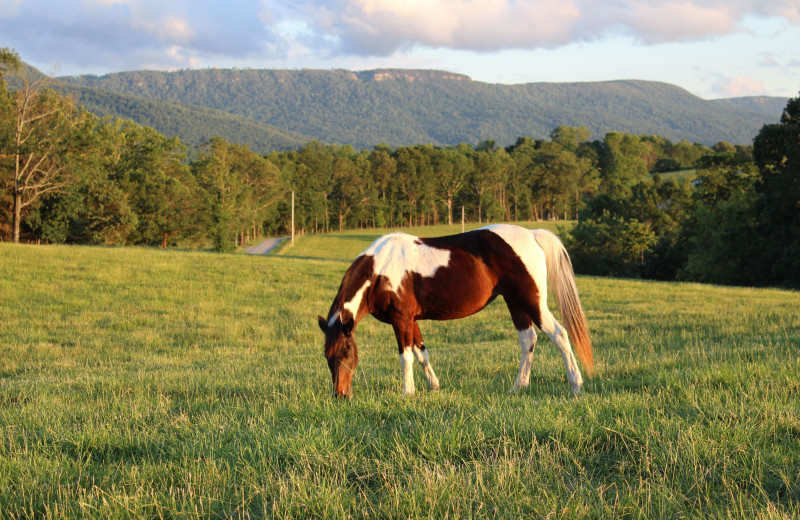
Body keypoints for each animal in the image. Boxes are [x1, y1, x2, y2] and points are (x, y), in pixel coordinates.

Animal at [318, 223, 592, 398]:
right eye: (327, 356)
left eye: (345, 352)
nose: (340, 395)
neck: (380, 270)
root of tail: (532, 234)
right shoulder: (412, 320)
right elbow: (421, 353)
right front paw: (433, 387)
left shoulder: (401, 320)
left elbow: (406, 357)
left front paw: (408, 392)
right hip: (515, 302)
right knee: (528, 340)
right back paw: (519, 388)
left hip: (532, 301)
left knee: (559, 335)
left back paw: (576, 386)